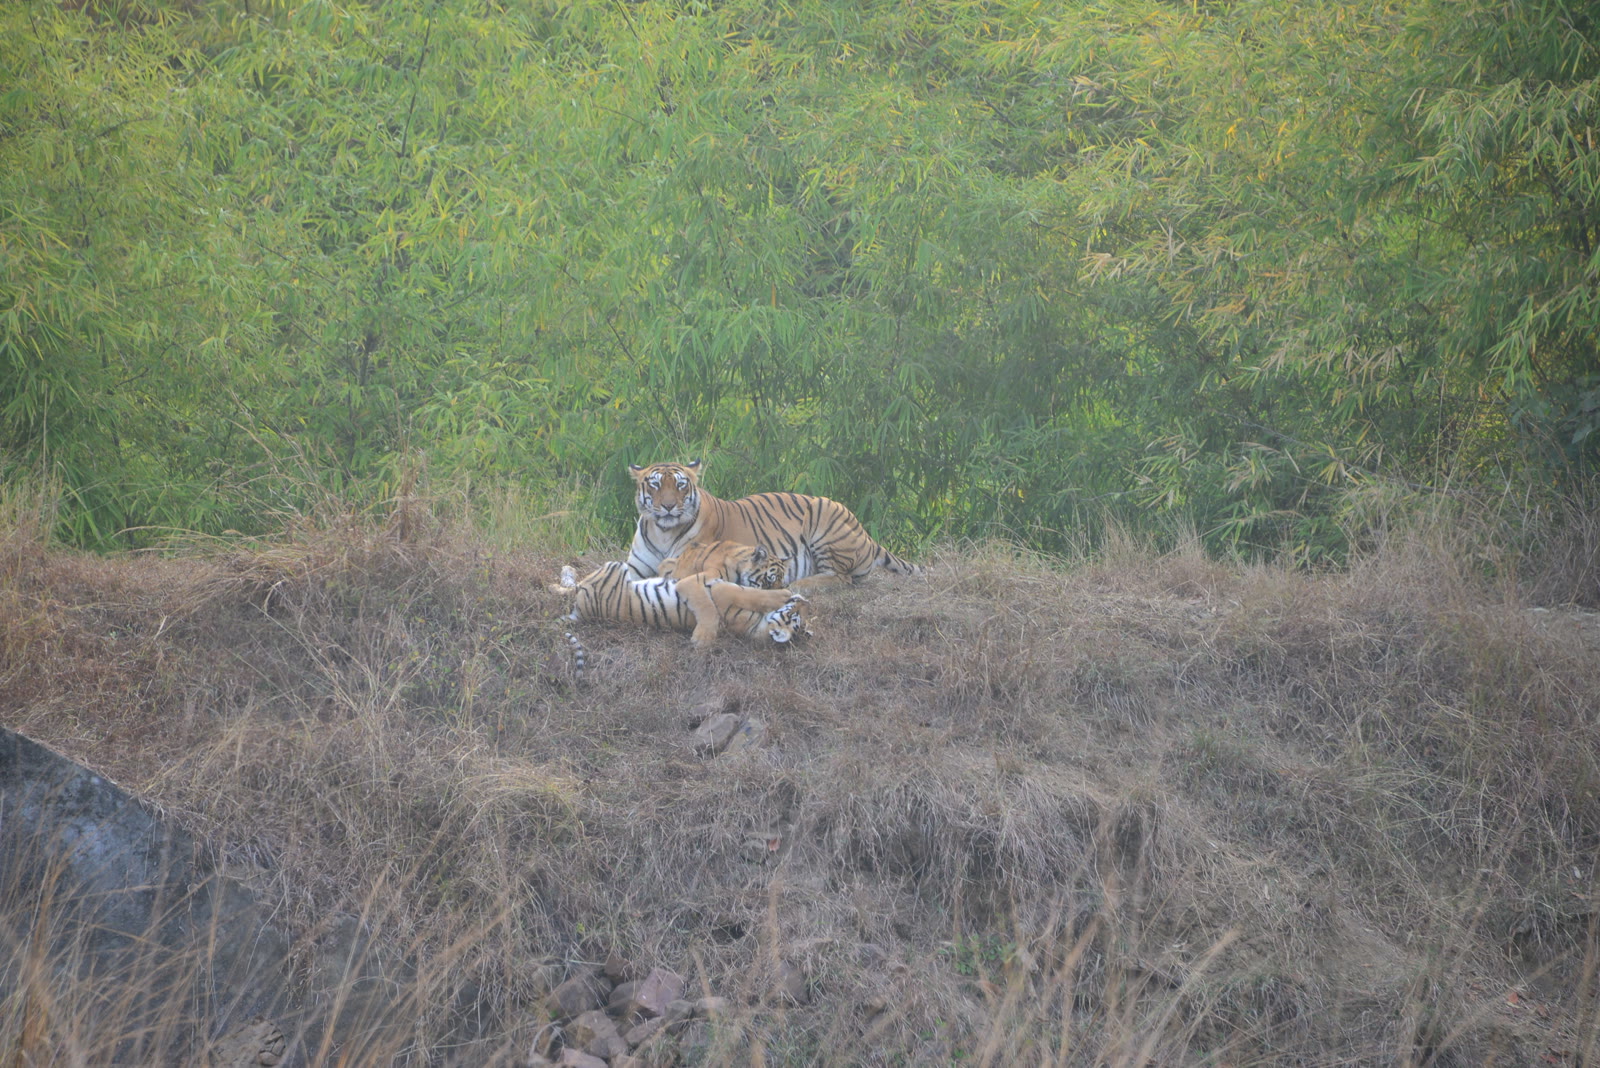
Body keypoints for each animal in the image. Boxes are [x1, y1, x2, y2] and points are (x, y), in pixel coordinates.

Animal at [555, 561, 810, 650]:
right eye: (795, 615)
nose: (802, 603)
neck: (755, 624)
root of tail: (581, 613)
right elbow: (753, 591)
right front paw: (791, 594)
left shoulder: (720, 590)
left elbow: (751, 593)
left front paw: (784, 594)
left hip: (613, 569)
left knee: (577, 584)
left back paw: (566, 572)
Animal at [625, 460, 921, 590]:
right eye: (656, 485)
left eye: (680, 485)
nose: (668, 506)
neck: (663, 531)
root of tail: (866, 535)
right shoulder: (636, 566)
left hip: (823, 512)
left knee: (840, 577)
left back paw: (799, 583)